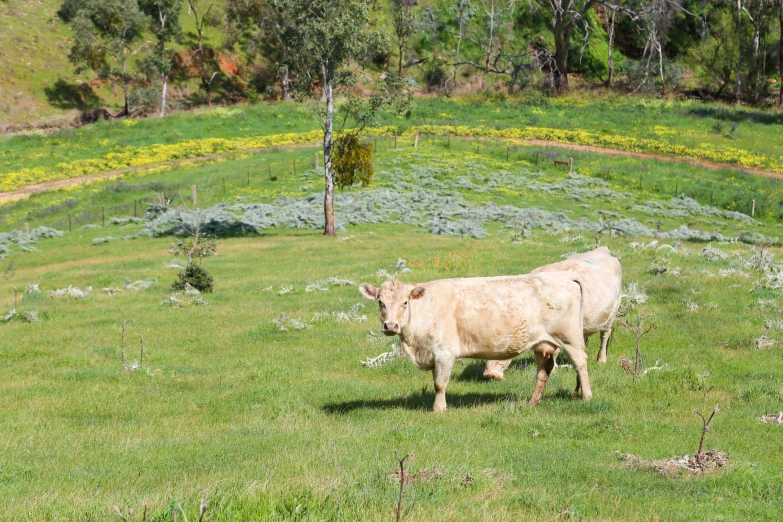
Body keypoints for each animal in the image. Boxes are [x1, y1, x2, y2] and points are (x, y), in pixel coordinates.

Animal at [358, 272, 592, 410]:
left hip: (570, 339)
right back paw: (533, 402)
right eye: (380, 302)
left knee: (580, 364)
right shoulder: (434, 355)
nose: (390, 326)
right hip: (542, 344)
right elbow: (436, 381)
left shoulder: (444, 352)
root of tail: (565, 278)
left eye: (405, 302)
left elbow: (439, 383)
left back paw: (587, 397)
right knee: (544, 371)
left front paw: (439, 409)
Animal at [480, 246, 620, 380]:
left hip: (611, 315)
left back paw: (601, 359)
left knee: (604, 335)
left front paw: (553, 369)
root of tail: (602, 250)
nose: (490, 375)